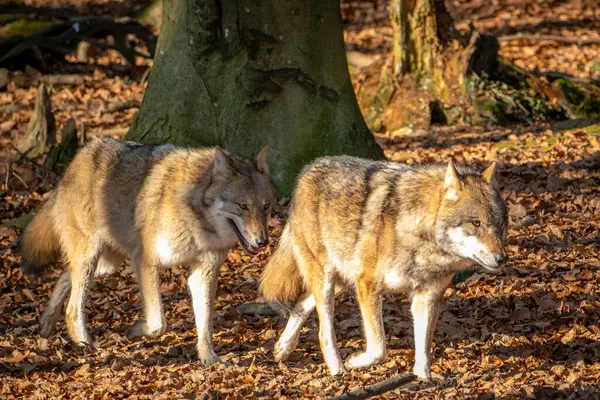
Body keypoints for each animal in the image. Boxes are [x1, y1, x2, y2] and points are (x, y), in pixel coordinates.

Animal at [19, 138, 278, 366]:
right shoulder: (145, 260)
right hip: (93, 258)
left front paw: (209, 358)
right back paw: (86, 345)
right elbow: (158, 323)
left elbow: (205, 323)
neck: (196, 215)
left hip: (106, 265)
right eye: (242, 206)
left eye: (266, 206)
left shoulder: (203, 272)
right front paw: (135, 330)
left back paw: (46, 322)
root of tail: (79, 156)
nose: (262, 241)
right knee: (73, 307)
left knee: (66, 275)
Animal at [260, 157, 508, 378]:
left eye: (501, 225)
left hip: (341, 281)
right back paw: (338, 370)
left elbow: (424, 349)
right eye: (476, 223)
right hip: (328, 279)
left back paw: (283, 347)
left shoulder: (427, 297)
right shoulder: (367, 284)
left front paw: (423, 379)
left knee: (301, 304)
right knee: (323, 332)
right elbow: (379, 348)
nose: (502, 259)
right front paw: (355, 361)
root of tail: (307, 171)